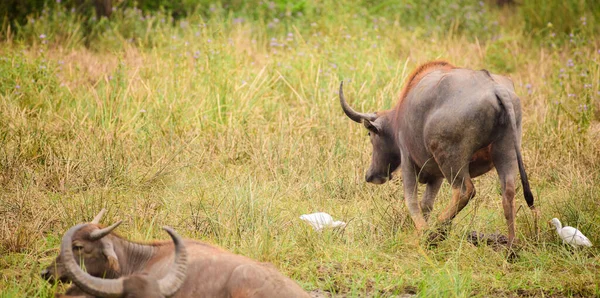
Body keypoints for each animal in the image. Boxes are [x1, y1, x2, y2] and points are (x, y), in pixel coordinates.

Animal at [340, 60, 540, 244]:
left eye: (370, 134)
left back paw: (436, 232)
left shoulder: (408, 160)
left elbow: (412, 200)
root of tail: (496, 88)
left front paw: (422, 232)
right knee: (508, 193)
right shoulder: (436, 176)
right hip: (506, 151)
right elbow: (426, 203)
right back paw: (510, 247)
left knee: (465, 191)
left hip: (451, 160)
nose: (370, 175)